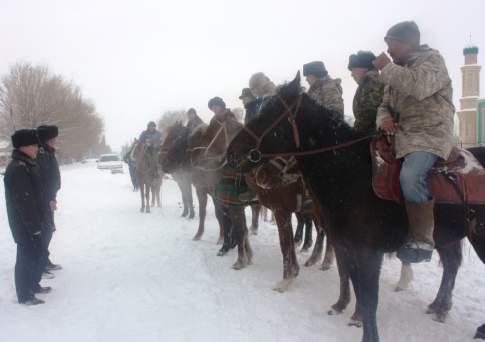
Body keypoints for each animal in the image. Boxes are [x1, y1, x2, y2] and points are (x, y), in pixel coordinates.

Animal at [226, 72, 484, 342]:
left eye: (268, 113)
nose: (231, 153)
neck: (351, 176)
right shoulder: (343, 243)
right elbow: (352, 283)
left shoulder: (368, 252)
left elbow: (369, 300)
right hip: (448, 235)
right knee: (452, 264)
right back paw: (439, 307)